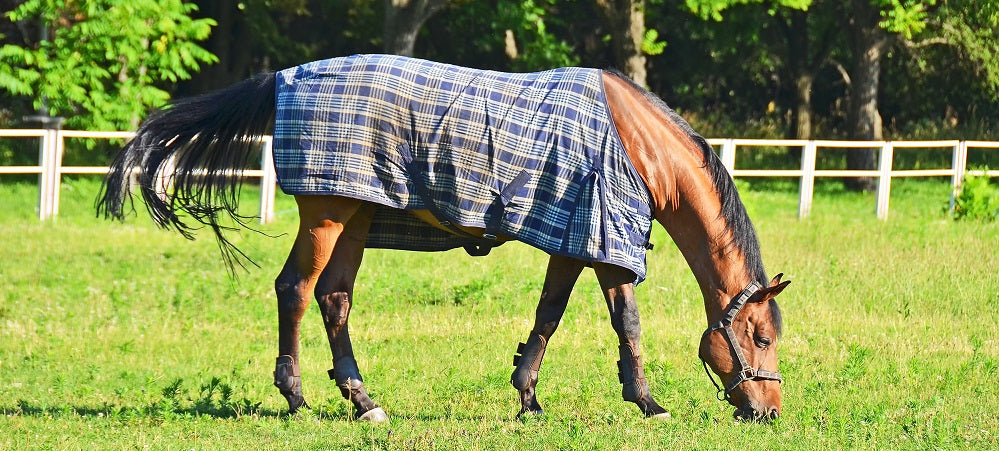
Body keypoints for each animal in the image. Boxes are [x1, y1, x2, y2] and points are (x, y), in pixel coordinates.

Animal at [98, 54, 789, 422]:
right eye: (759, 337)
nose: (768, 409)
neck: (636, 142)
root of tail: (284, 78)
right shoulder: (602, 240)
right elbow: (629, 323)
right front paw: (647, 402)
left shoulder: (572, 241)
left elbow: (549, 314)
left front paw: (528, 395)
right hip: (327, 215)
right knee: (294, 290)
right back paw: (296, 397)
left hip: (357, 216)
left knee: (333, 299)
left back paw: (363, 400)